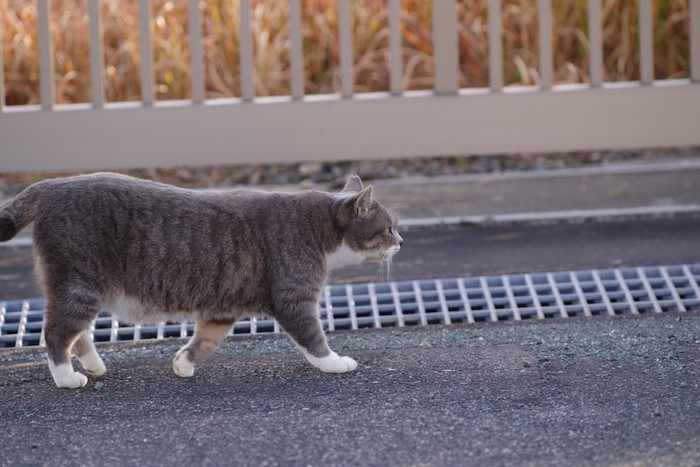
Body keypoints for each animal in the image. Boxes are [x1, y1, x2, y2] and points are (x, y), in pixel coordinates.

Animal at [0, 174, 402, 390]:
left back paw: (94, 365)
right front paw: (334, 362)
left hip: (81, 288)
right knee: (56, 332)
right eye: (388, 227)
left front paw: (183, 363)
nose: (401, 241)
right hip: (79, 283)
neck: (316, 229)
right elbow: (313, 337)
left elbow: (205, 341)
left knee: (77, 331)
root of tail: (52, 186)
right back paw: (67, 377)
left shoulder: (222, 309)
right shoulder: (294, 298)